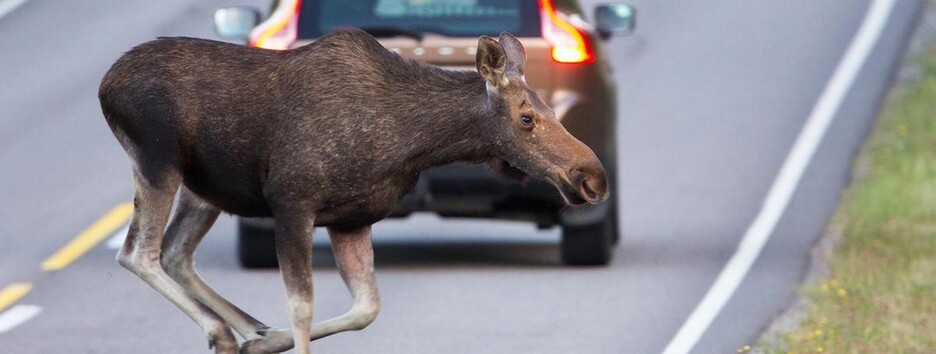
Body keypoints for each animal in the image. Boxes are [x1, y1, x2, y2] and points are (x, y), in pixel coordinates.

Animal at [100, 29, 608, 352]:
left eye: (553, 111)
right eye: (527, 118)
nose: (593, 177)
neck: (410, 143)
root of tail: (107, 85)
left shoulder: (352, 219)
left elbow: (366, 308)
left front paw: (271, 341)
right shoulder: (292, 202)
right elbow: (302, 306)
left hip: (204, 190)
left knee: (175, 253)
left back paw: (248, 333)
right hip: (158, 162)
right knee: (138, 252)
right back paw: (224, 331)